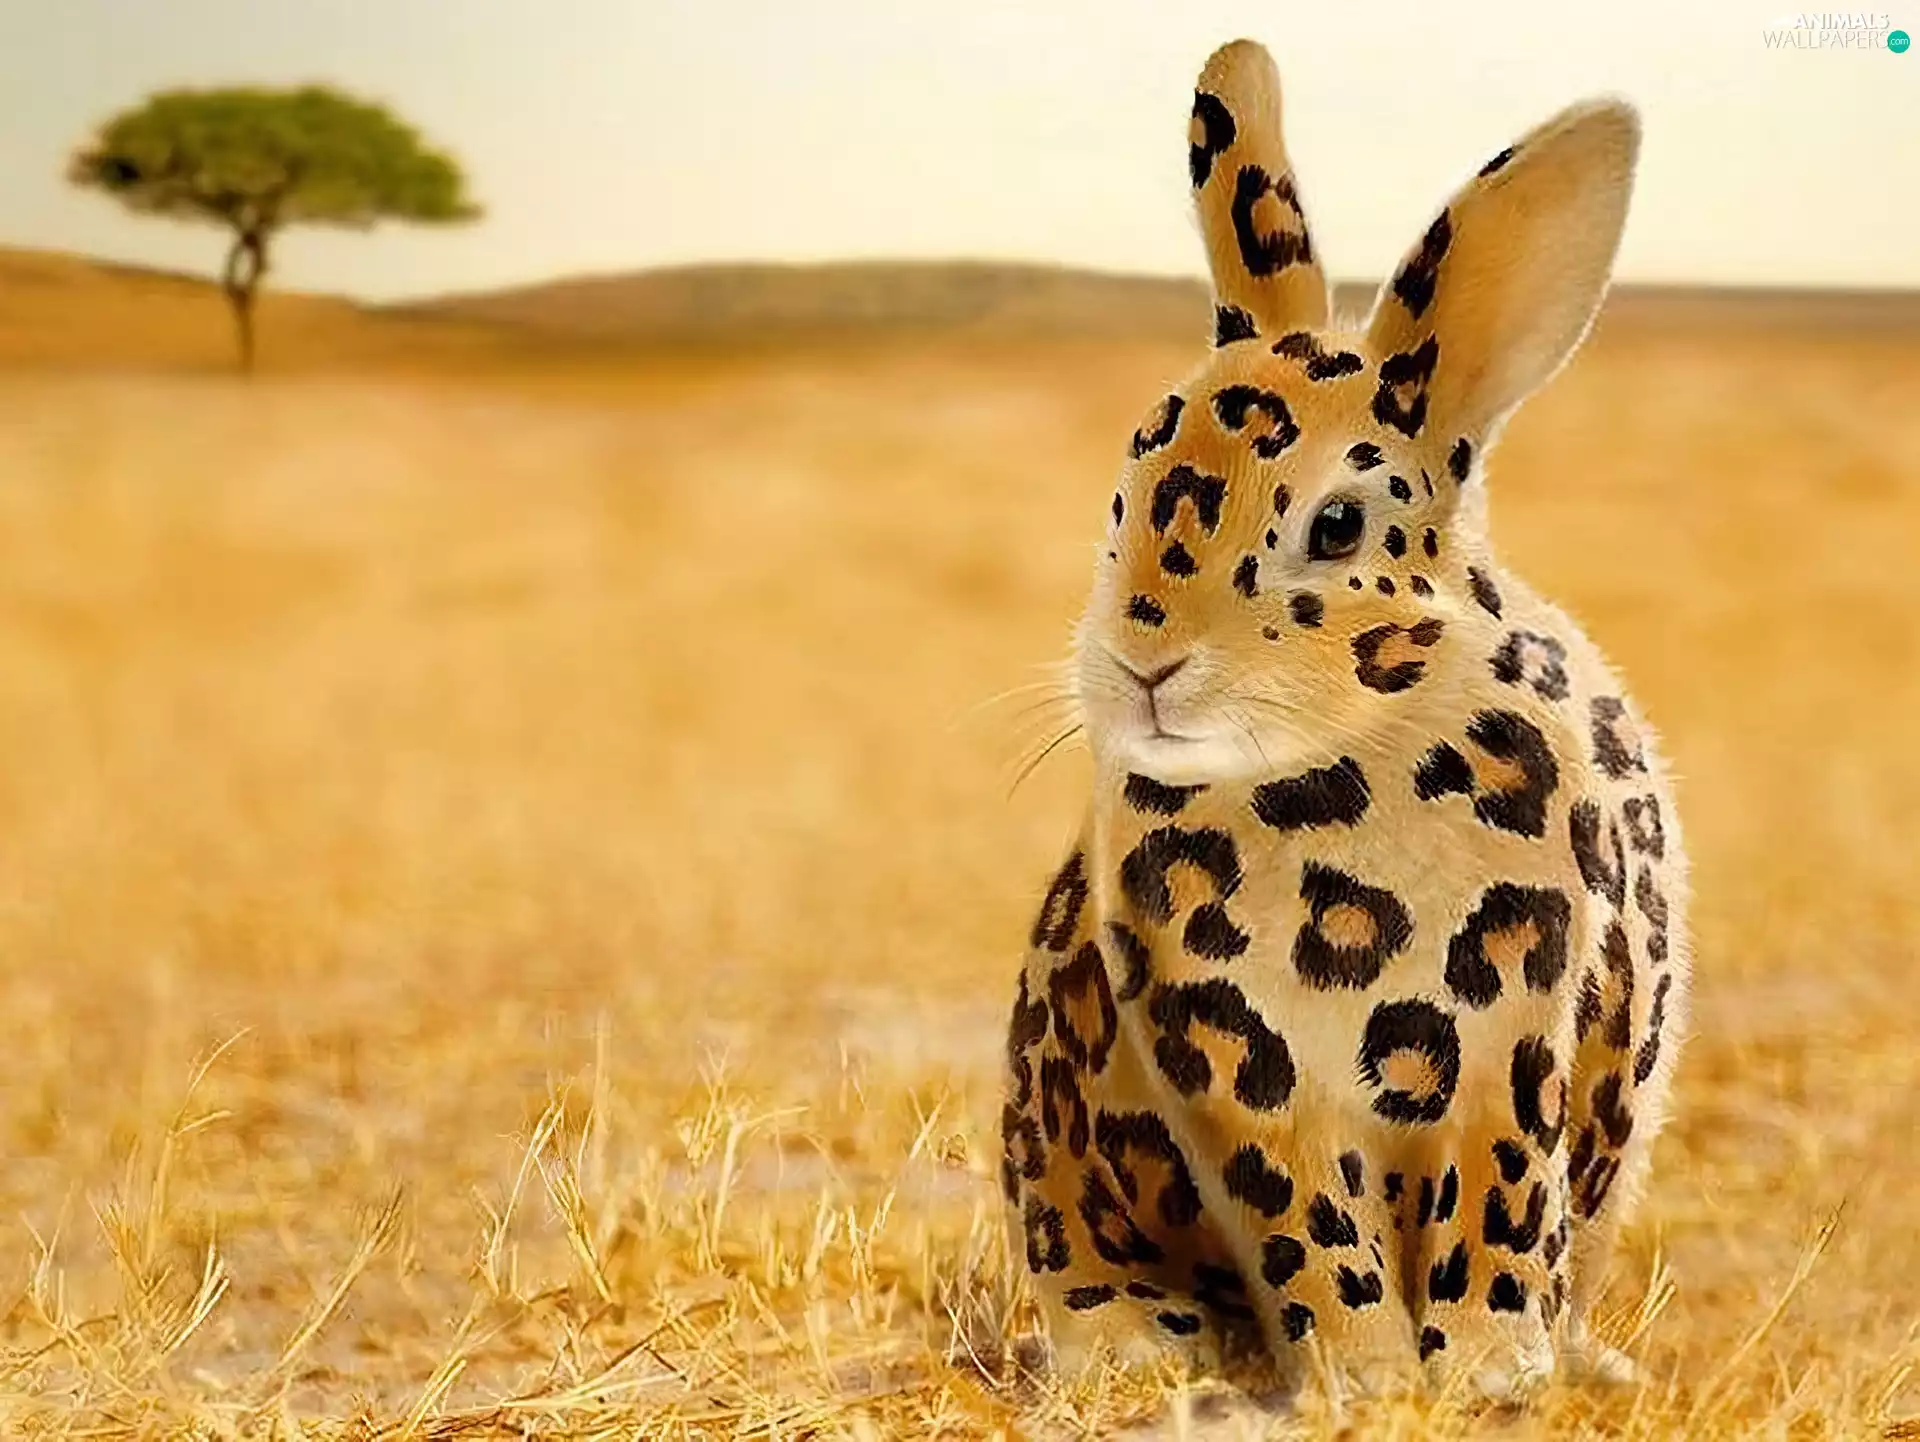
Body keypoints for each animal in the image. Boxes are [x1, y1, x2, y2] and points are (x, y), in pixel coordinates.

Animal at [1000, 38, 1686, 1403]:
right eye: (1126, 489)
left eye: (1335, 525)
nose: (1142, 662)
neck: (1332, 783)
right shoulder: (1243, 1075)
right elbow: (1308, 1226)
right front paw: (1363, 1379)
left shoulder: (1511, 1050)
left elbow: (1496, 1206)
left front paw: (1485, 1372)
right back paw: (1137, 1357)